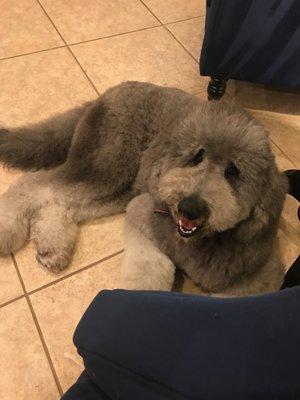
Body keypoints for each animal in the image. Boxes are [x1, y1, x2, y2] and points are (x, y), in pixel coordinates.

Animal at [0, 81, 288, 296]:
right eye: (197, 156)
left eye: (233, 172)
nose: (190, 207)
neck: (193, 241)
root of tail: (106, 94)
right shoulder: (144, 214)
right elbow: (149, 272)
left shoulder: (259, 278)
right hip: (107, 167)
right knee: (34, 185)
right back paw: (7, 231)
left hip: (122, 187)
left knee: (63, 203)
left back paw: (52, 246)